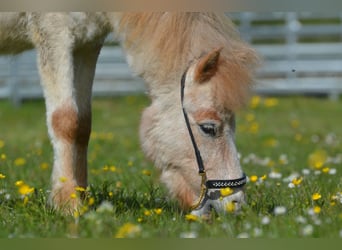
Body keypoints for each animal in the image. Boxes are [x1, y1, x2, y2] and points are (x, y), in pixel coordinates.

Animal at [0, 12, 256, 216]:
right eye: (208, 128)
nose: (236, 203)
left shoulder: (85, 44)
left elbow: (82, 125)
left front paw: (80, 199)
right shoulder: (55, 35)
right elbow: (66, 120)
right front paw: (68, 205)